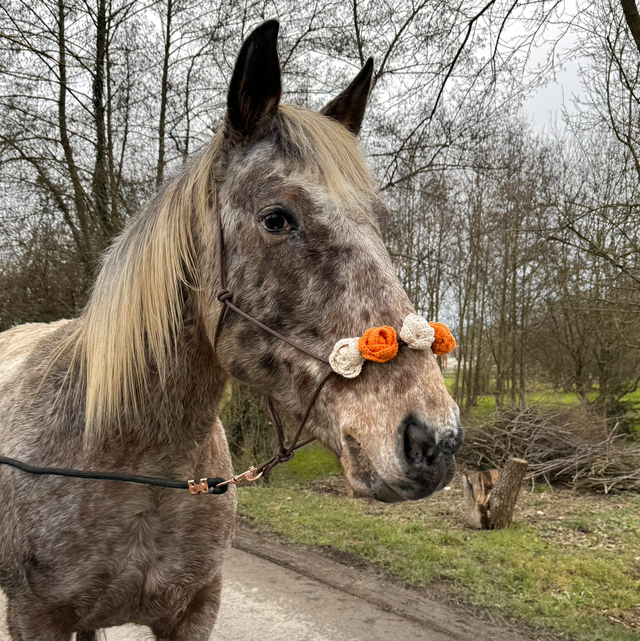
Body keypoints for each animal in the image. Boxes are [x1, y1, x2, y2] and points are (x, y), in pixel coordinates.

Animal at [0, 20, 463, 640]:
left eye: (379, 226)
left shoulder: (195, 611)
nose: (434, 440)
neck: (139, 466)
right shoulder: (35, 618)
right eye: (276, 219)